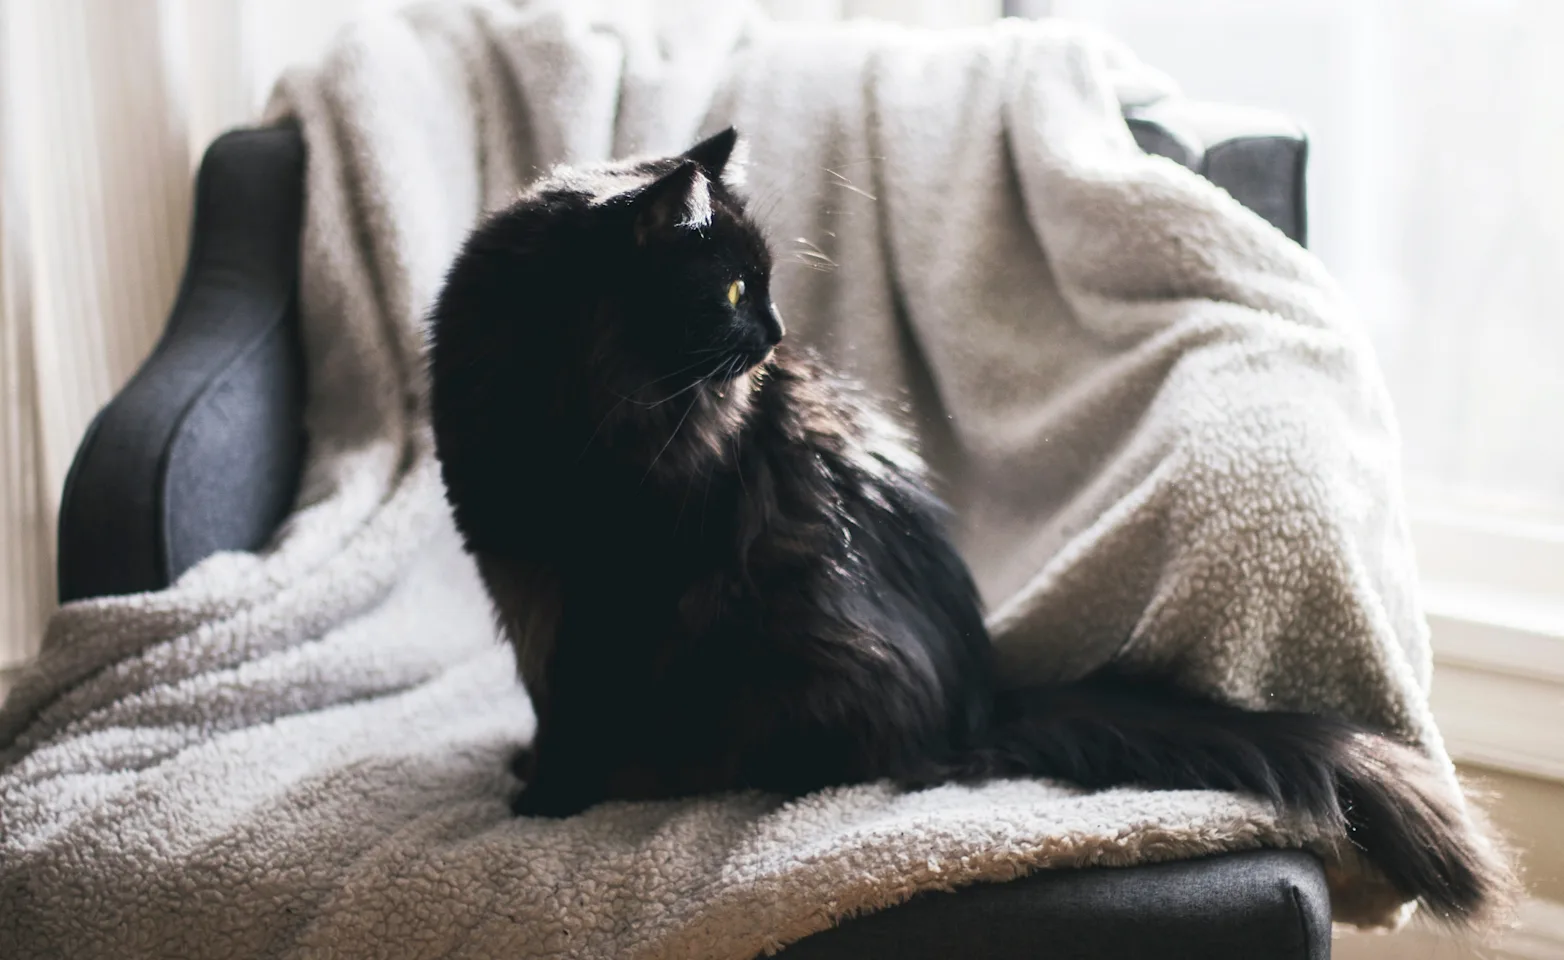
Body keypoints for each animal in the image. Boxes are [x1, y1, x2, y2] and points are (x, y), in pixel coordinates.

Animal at [428, 125, 1513, 925]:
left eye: (765, 284)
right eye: (732, 291)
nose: (777, 334)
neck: (552, 408)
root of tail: (979, 705)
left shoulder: (615, 594)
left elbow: (579, 708)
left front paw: (546, 801)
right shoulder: (522, 576)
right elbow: (549, 698)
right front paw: (535, 777)